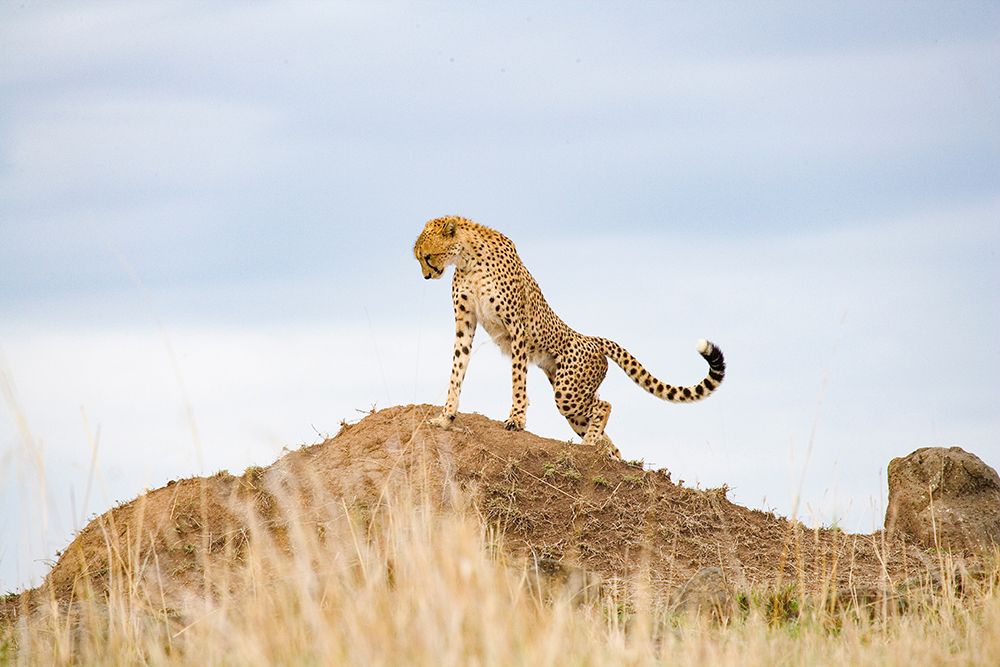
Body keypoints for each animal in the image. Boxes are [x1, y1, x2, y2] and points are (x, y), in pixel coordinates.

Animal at [413, 215, 726, 458]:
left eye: (427, 256)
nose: (427, 276)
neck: (468, 257)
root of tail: (591, 338)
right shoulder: (465, 324)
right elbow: (457, 370)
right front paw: (446, 416)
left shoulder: (518, 328)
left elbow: (517, 379)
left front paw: (516, 419)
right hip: (571, 399)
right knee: (603, 429)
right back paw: (606, 452)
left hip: (568, 391)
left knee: (604, 405)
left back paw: (590, 445)